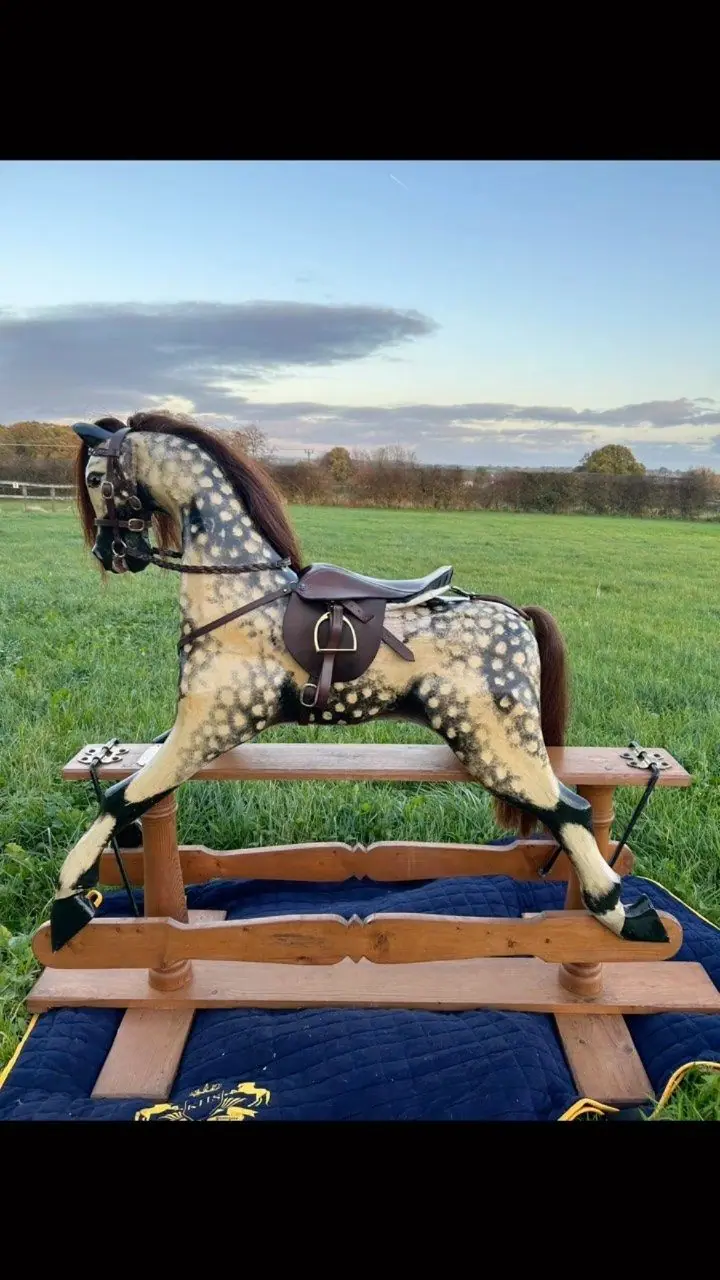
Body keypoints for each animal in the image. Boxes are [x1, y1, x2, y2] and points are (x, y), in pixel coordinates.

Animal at [47, 410, 669, 952]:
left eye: (96, 478)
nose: (111, 553)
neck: (240, 592)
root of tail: (516, 615)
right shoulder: (196, 729)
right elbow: (137, 782)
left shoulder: (213, 725)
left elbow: (124, 797)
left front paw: (69, 900)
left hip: (494, 742)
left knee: (571, 809)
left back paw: (626, 917)